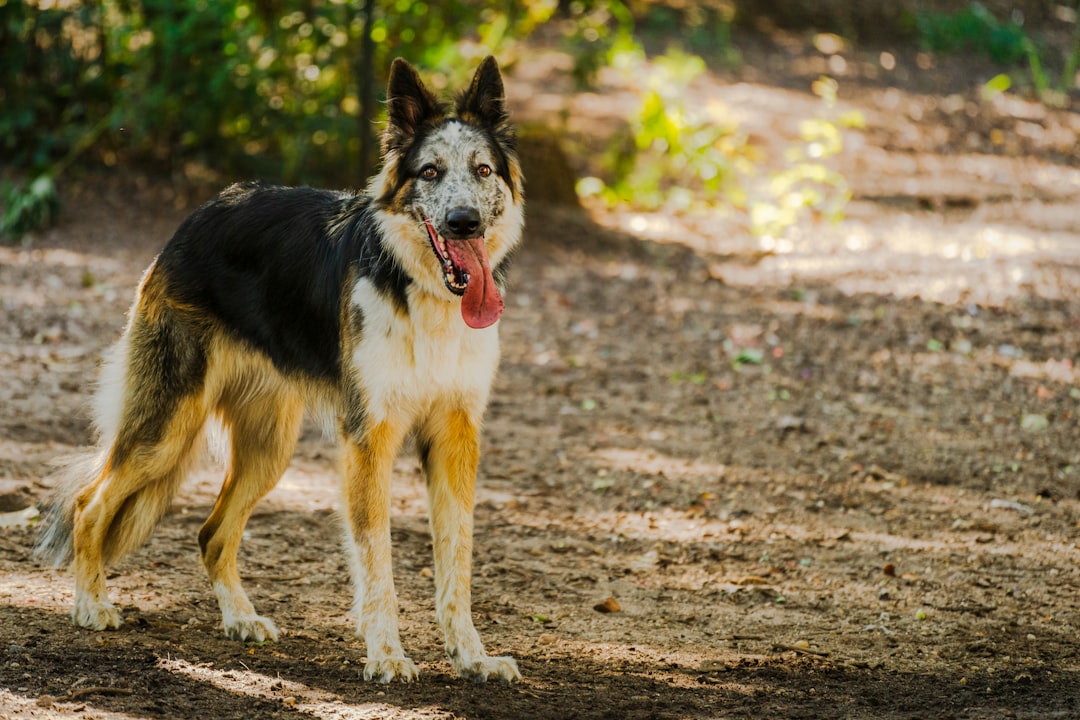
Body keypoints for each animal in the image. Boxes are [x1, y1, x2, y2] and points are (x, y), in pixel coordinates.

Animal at [39, 55, 529, 682]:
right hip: (166, 430)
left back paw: (241, 620)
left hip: (268, 449)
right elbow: (377, 560)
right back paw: (91, 605)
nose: (464, 222)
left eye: (482, 169)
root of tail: (201, 213)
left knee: (211, 534)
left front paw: (472, 656)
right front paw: (386, 654)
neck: (421, 294)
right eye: (431, 172)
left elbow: (457, 558)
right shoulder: (368, 441)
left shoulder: (455, 437)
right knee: (89, 506)